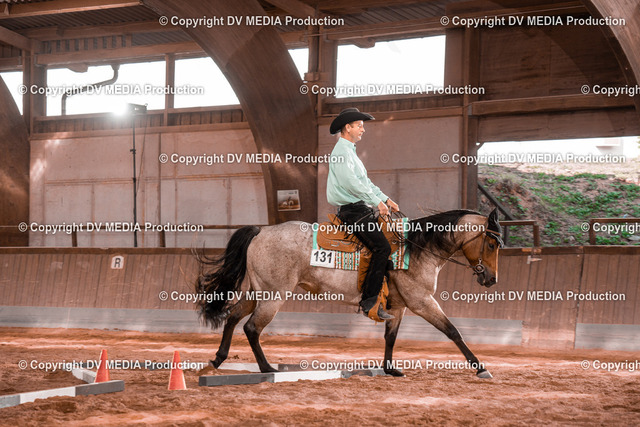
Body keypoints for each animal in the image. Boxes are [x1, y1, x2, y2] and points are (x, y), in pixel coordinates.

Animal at [194, 208, 503, 379]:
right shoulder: (422, 302)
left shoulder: (398, 306)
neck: (416, 249)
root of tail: (261, 231)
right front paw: (480, 367)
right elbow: (453, 331)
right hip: (274, 296)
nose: (491, 279)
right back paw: (267, 368)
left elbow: (390, 337)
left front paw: (390, 369)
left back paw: (218, 359)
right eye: (491, 243)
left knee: (233, 318)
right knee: (252, 328)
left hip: (256, 293)